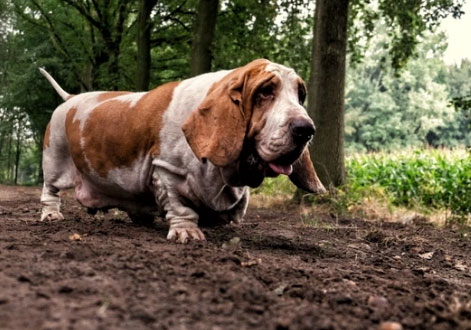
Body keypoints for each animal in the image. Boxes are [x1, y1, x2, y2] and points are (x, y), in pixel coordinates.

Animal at [40, 58, 326, 242]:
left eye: (300, 95)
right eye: (266, 91)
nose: (306, 129)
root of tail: (70, 98)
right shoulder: (166, 171)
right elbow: (180, 206)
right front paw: (187, 233)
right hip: (55, 157)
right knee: (50, 190)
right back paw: (51, 215)